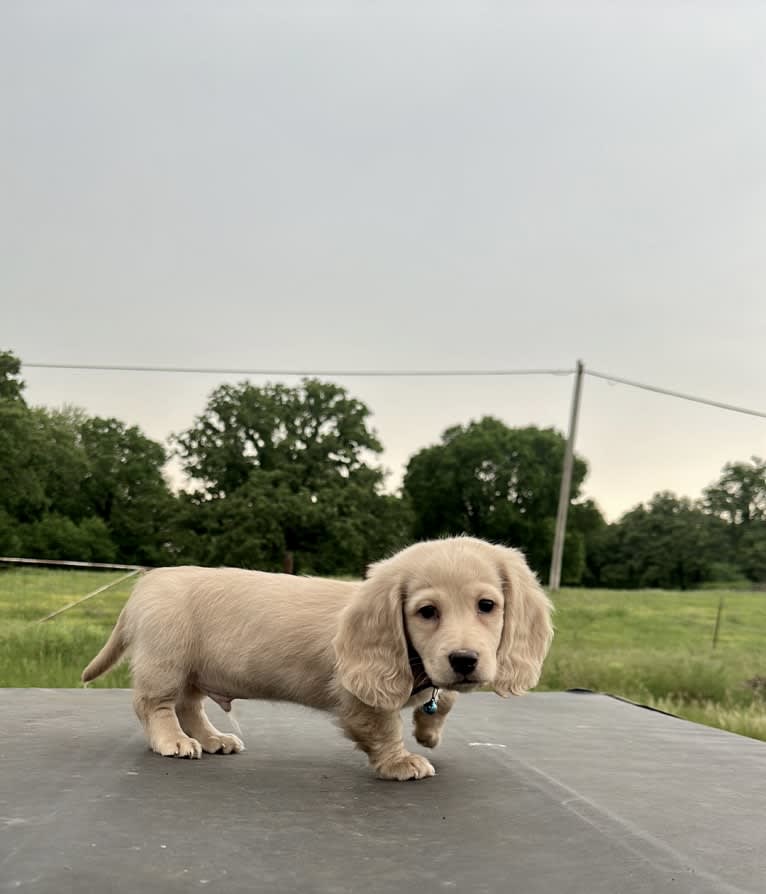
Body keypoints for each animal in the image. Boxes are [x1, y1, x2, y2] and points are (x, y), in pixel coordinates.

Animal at [82, 536, 552, 780]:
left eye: (487, 606)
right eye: (426, 612)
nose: (464, 659)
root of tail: (147, 583)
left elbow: (444, 697)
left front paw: (430, 731)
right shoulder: (360, 698)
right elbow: (383, 728)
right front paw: (401, 761)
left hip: (195, 672)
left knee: (190, 707)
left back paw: (213, 739)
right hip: (166, 663)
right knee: (156, 707)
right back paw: (174, 741)